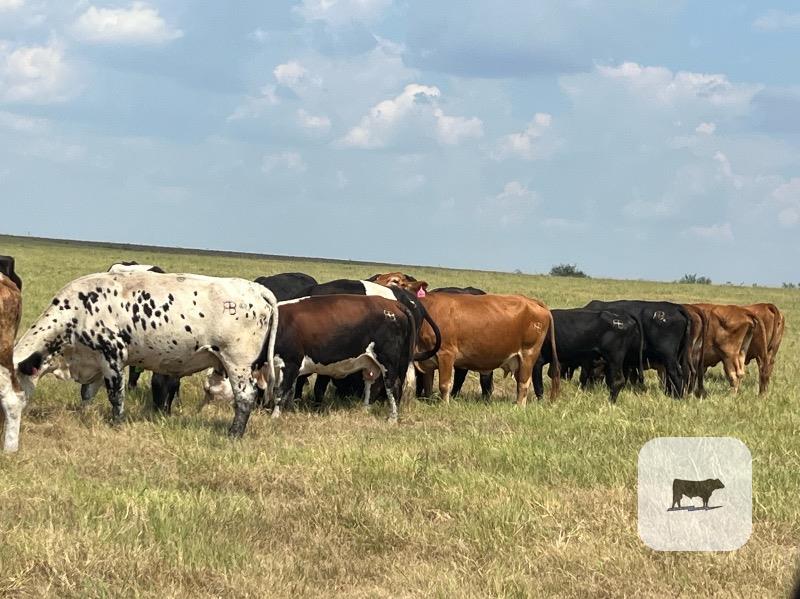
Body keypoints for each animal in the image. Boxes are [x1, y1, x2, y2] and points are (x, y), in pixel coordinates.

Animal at [11, 271, 278, 446]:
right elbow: (87, 394)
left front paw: (117, 423)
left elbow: (116, 395)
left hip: (237, 362)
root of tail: (255, 288)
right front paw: (84, 415)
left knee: (245, 397)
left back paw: (234, 434)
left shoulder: (113, 356)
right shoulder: (94, 361)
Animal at [266, 295, 419, 422]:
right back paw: (364, 411)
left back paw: (392, 419)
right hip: (372, 363)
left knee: (393, 386)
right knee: (372, 385)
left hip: (388, 361)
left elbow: (280, 391)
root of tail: (393, 304)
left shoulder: (290, 363)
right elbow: (289, 391)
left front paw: (274, 417)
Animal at [414, 293, 559, 405]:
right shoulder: (427, 361)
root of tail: (531, 301)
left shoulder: (446, 354)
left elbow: (444, 385)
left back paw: (519, 407)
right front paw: (429, 401)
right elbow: (428, 384)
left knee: (524, 384)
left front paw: (444, 405)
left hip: (528, 354)